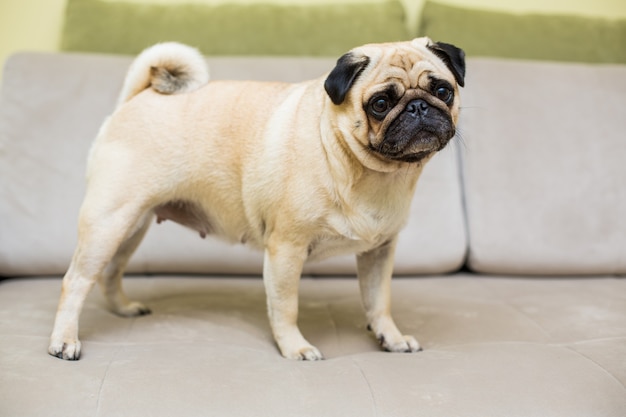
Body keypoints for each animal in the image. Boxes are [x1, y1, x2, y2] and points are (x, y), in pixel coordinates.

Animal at [48, 37, 464, 360]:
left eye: (443, 91)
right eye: (380, 103)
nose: (419, 107)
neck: (368, 172)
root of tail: (140, 95)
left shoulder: (379, 251)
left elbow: (379, 302)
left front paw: (390, 338)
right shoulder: (286, 250)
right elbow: (286, 307)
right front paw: (295, 348)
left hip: (132, 227)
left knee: (110, 272)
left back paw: (123, 309)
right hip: (109, 221)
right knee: (76, 281)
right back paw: (64, 341)